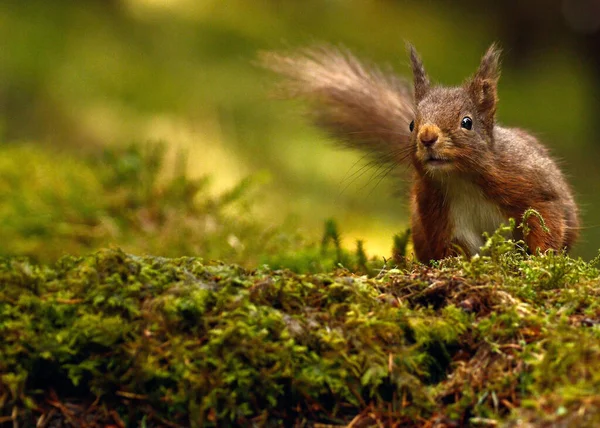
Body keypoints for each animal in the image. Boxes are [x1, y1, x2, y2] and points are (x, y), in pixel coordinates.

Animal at [260, 44, 580, 260]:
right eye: (412, 124)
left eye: (467, 122)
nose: (427, 136)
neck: (462, 180)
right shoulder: (440, 214)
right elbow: (453, 250)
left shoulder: (531, 186)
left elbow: (546, 221)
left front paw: (541, 259)